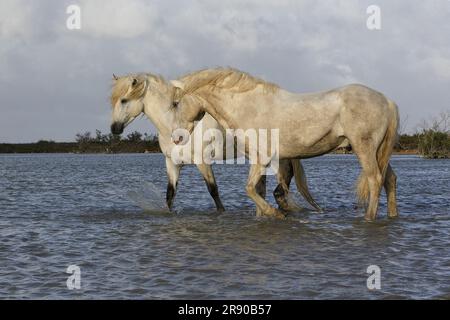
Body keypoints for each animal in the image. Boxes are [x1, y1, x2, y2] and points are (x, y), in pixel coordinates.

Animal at [108, 72, 320, 212]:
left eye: (124, 100)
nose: (114, 129)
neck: (174, 124)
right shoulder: (172, 164)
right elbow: (170, 195)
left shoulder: (202, 162)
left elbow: (213, 191)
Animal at [170, 68, 400, 220]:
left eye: (176, 103)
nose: (176, 138)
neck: (248, 107)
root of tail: (386, 100)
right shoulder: (258, 161)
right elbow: (258, 191)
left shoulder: (261, 158)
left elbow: (249, 189)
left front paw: (274, 213)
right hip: (379, 151)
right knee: (389, 180)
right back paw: (392, 215)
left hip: (364, 149)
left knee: (375, 180)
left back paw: (368, 218)